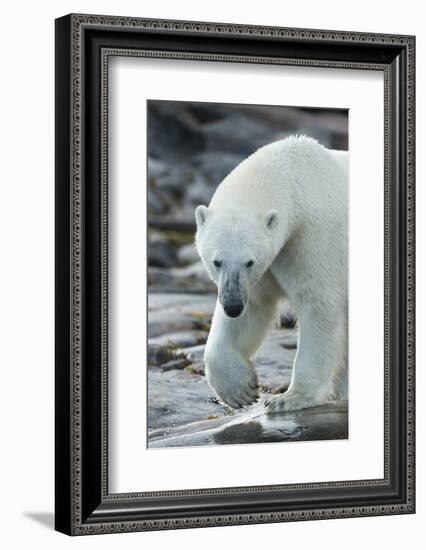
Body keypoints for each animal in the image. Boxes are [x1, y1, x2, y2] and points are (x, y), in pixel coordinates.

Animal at [195, 137, 348, 414]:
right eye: (216, 261)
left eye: (249, 261)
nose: (232, 305)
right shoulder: (264, 270)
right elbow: (254, 307)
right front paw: (240, 390)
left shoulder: (313, 237)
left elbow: (318, 302)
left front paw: (288, 398)